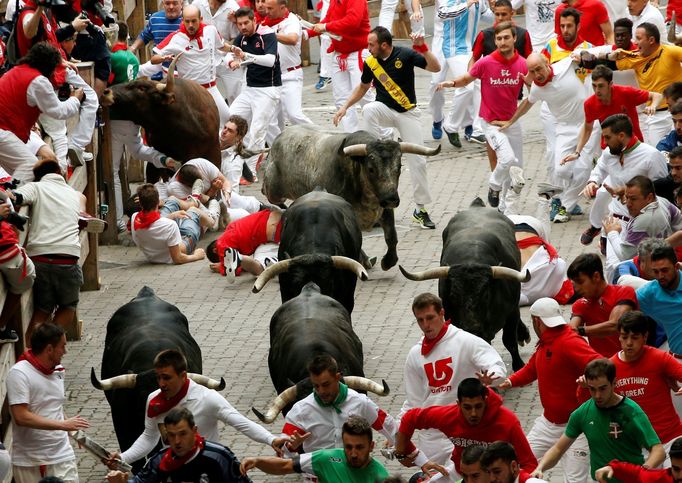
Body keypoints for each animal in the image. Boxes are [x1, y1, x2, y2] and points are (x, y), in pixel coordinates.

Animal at [258, 126, 438, 272]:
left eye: (399, 166)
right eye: (371, 168)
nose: (392, 199)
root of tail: (279, 138)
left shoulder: (384, 208)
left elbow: (391, 236)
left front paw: (388, 261)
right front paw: (362, 261)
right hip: (272, 190)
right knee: (272, 197)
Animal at [398, 199, 532, 370]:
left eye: (485, 293)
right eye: (454, 295)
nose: (472, 328)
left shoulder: (512, 311)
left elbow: (509, 340)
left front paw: (519, 365)